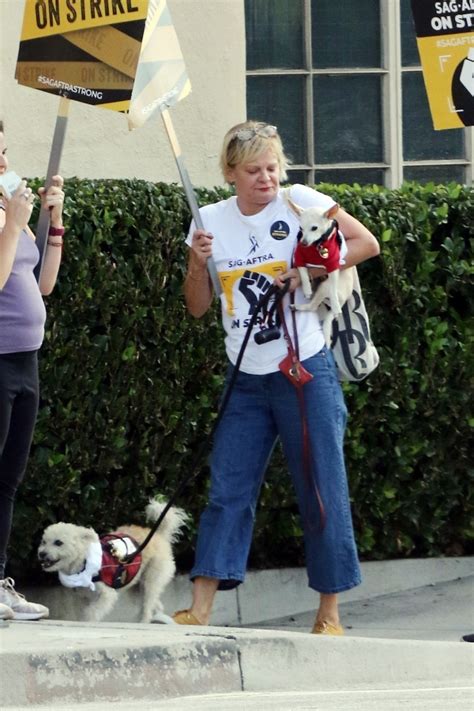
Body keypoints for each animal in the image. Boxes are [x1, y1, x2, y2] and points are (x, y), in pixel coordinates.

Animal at [38, 500, 188, 624]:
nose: (41, 554)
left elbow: (92, 611)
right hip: (136, 586)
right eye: (44, 542)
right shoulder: (83, 597)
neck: (83, 561)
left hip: (151, 580)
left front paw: (88, 621)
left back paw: (144, 621)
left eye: (58, 542)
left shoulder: (106, 595)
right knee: (153, 602)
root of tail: (159, 536)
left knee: (148, 603)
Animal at [284, 193, 354, 350]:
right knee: (313, 305)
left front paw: (335, 305)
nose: (303, 242)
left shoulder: (333, 265)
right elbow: (303, 273)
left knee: (315, 305)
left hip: (324, 287)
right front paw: (306, 289)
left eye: (314, 228)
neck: (317, 245)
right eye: (301, 228)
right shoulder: (299, 258)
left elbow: (333, 285)